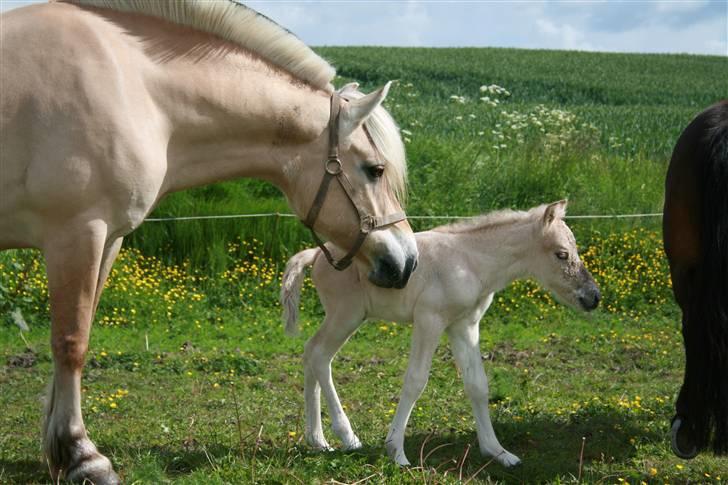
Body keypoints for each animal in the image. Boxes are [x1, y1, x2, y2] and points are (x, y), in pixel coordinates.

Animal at [0, 1, 418, 482]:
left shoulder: (105, 240)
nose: (408, 261)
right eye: (375, 169)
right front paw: (83, 456)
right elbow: (70, 344)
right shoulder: (78, 232)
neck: (135, 87)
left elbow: (74, 335)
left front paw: (59, 451)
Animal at [282, 199, 600, 466]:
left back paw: (318, 440)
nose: (593, 297)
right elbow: (415, 381)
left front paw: (498, 452)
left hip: (343, 316)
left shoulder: (464, 325)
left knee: (310, 352)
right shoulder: (429, 320)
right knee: (320, 356)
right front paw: (397, 452)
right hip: (346, 314)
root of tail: (316, 254)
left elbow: (477, 384)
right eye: (562, 254)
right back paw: (347, 437)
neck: (471, 262)